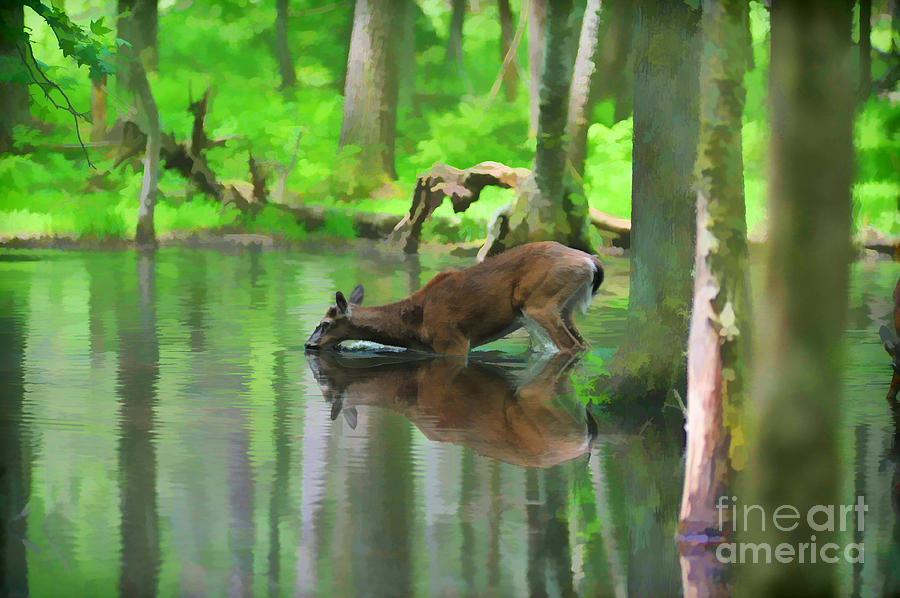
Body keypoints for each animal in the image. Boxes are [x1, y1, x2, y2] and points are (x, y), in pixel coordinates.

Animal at [304, 241, 604, 355]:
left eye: (325, 323)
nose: (308, 344)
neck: (412, 325)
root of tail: (591, 261)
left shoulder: (451, 340)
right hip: (565, 308)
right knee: (583, 344)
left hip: (539, 305)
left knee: (571, 346)